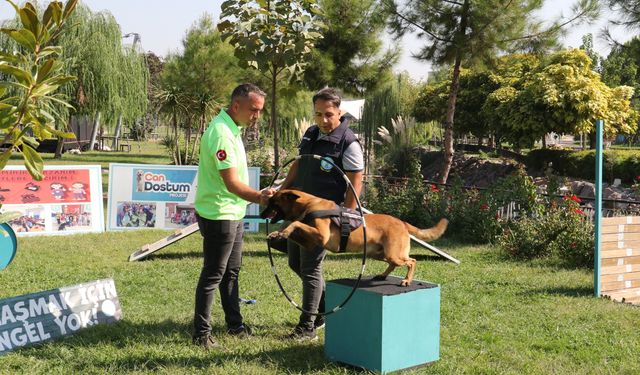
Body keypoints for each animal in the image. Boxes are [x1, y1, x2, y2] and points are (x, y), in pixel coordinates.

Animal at [260, 189, 450, 286]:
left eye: (273, 203)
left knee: (412, 261)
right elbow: (295, 226)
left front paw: (284, 231)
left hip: (394, 253)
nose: (261, 214)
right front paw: (278, 233)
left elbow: (295, 223)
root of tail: (402, 222)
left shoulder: (321, 236)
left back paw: (407, 280)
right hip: (379, 254)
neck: (308, 204)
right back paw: (382, 275)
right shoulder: (311, 242)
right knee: (393, 264)